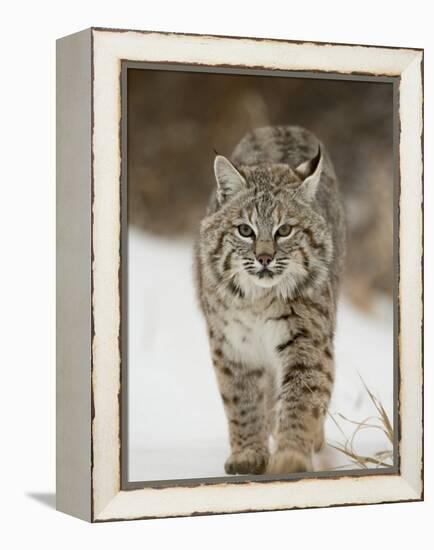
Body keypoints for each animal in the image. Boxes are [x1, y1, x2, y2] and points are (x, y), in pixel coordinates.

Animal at [195, 127, 344, 476]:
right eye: (245, 230)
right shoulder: (233, 344)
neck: (258, 301)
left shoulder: (308, 338)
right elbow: (242, 400)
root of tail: (283, 127)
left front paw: (291, 457)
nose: (264, 259)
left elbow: (302, 396)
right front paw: (248, 454)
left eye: (285, 230)